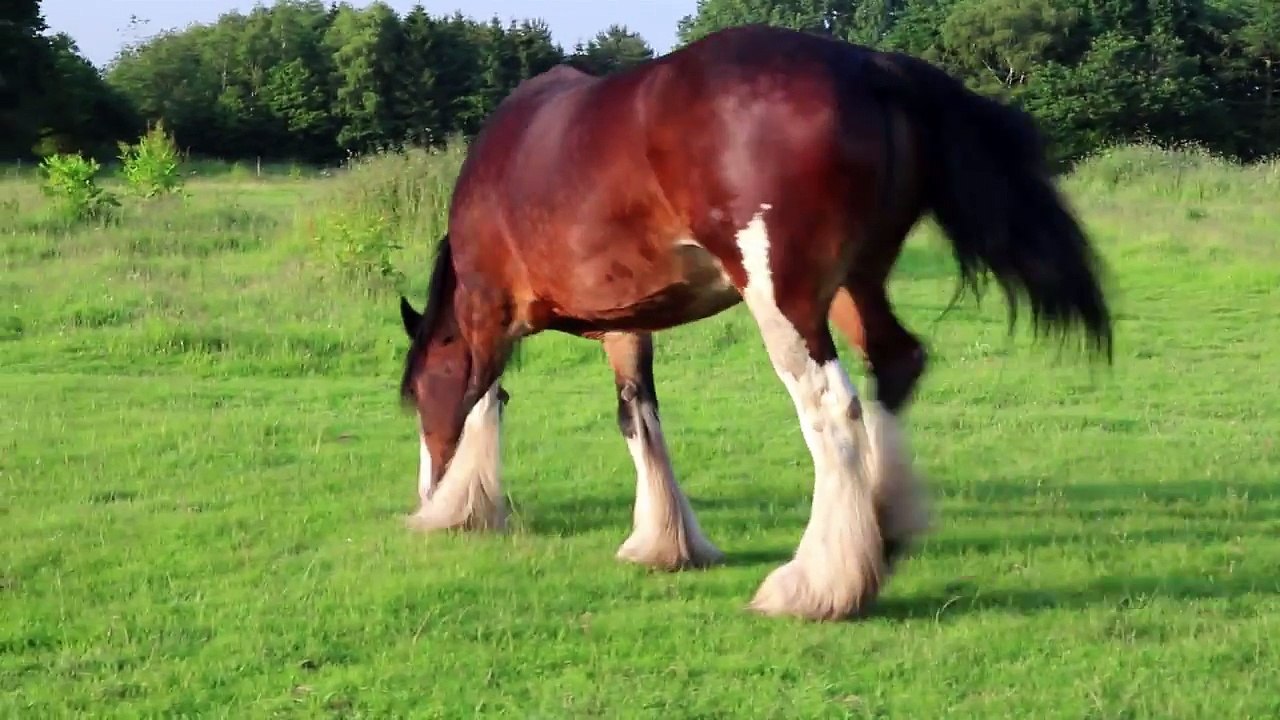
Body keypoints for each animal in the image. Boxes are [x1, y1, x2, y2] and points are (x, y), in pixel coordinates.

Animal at [396, 24, 1113, 621]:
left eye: (416, 395)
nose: (423, 489)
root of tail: (865, 64)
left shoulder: (486, 314)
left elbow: (480, 401)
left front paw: (454, 507)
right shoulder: (626, 326)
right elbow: (637, 416)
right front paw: (664, 542)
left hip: (784, 299)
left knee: (831, 408)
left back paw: (818, 585)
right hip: (855, 284)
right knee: (896, 363)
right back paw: (881, 528)